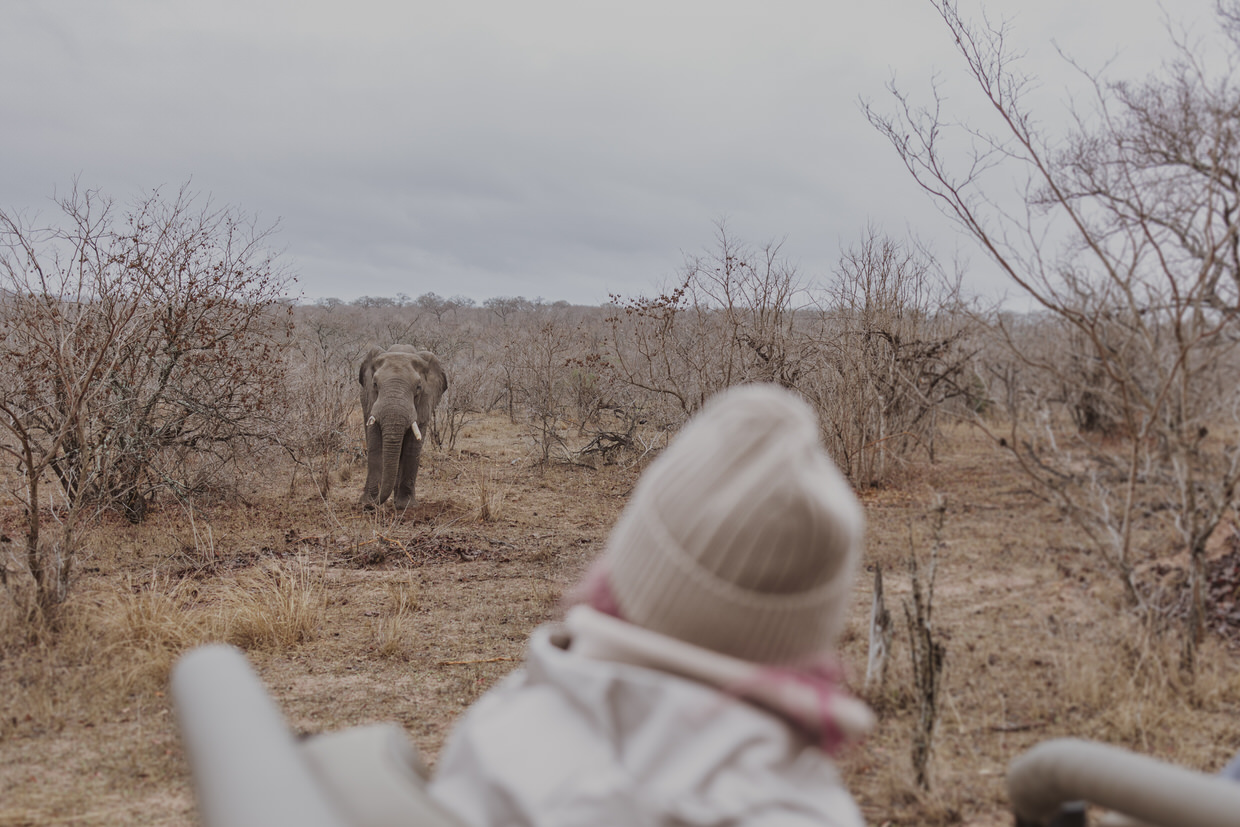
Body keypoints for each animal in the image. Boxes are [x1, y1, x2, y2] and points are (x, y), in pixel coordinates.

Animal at [358, 345, 448, 510]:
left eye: (418, 387)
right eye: (375, 385)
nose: (371, 506)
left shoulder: (424, 404)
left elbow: (412, 448)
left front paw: (406, 506)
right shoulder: (371, 402)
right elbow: (375, 444)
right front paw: (368, 501)